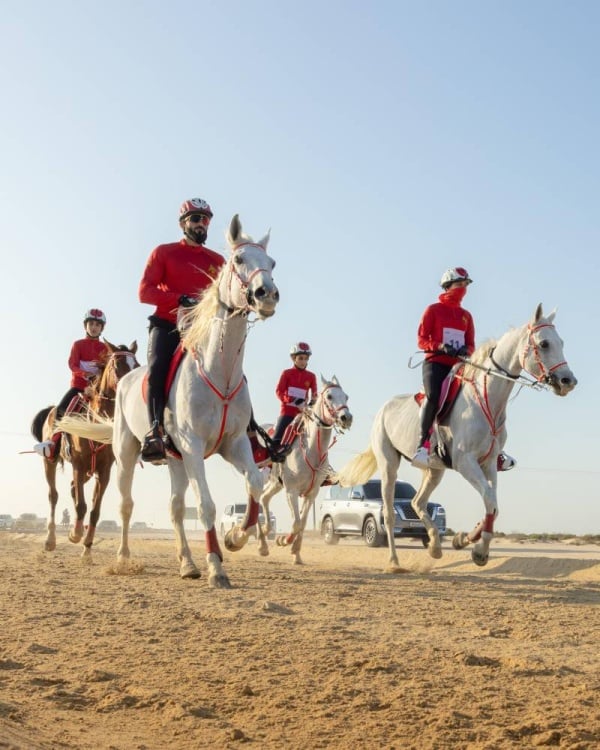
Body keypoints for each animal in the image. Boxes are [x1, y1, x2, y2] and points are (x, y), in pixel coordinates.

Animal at [31, 340, 138, 560]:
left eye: (137, 364)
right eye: (117, 365)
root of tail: (50, 410)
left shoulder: (103, 471)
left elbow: (95, 511)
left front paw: (87, 546)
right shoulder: (78, 465)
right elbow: (82, 505)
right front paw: (75, 535)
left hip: (89, 471)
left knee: (73, 489)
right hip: (50, 461)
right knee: (53, 495)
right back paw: (50, 540)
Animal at [62, 214, 278, 592]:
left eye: (273, 263)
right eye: (238, 260)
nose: (267, 294)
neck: (219, 370)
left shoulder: (234, 444)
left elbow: (253, 483)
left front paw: (236, 537)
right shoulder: (193, 446)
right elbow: (206, 506)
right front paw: (216, 567)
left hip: (176, 461)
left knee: (175, 508)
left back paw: (187, 563)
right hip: (126, 455)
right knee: (126, 504)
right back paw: (123, 558)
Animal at [225, 378, 352, 568]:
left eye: (346, 396)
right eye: (329, 396)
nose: (346, 417)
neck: (312, 450)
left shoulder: (311, 493)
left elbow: (302, 523)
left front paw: (296, 554)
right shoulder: (291, 491)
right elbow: (296, 523)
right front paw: (283, 540)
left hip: (276, 483)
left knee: (264, 498)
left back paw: (265, 534)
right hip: (263, 477)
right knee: (256, 497)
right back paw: (260, 543)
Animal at [338, 304, 576, 568]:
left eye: (561, 342)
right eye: (544, 344)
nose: (568, 381)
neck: (486, 400)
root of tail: (384, 408)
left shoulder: (489, 463)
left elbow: (493, 504)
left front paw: (464, 540)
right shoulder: (466, 462)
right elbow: (490, 500)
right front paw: (478, 550)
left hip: (434, 470)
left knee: (417, 502)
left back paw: (434, 546)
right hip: (389, 464)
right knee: (390, 514)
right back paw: (394, 561)